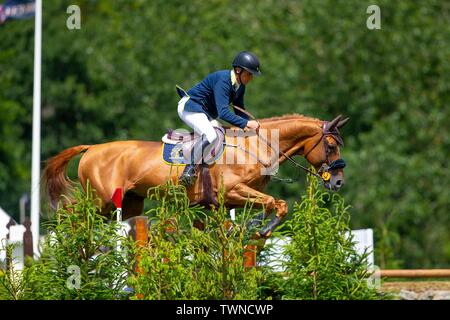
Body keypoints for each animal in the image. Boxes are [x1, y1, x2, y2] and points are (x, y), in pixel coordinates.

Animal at [42, 114, 350, 238]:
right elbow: (276, 203)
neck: (256, 145)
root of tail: (92, 148)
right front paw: (259, 228)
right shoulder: (234, 191)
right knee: (71, 217)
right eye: (330, 146)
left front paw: (256, 228)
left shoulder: (231, 201)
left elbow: (273, 206)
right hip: (102, 200)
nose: (337, 182)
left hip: (129, 203)